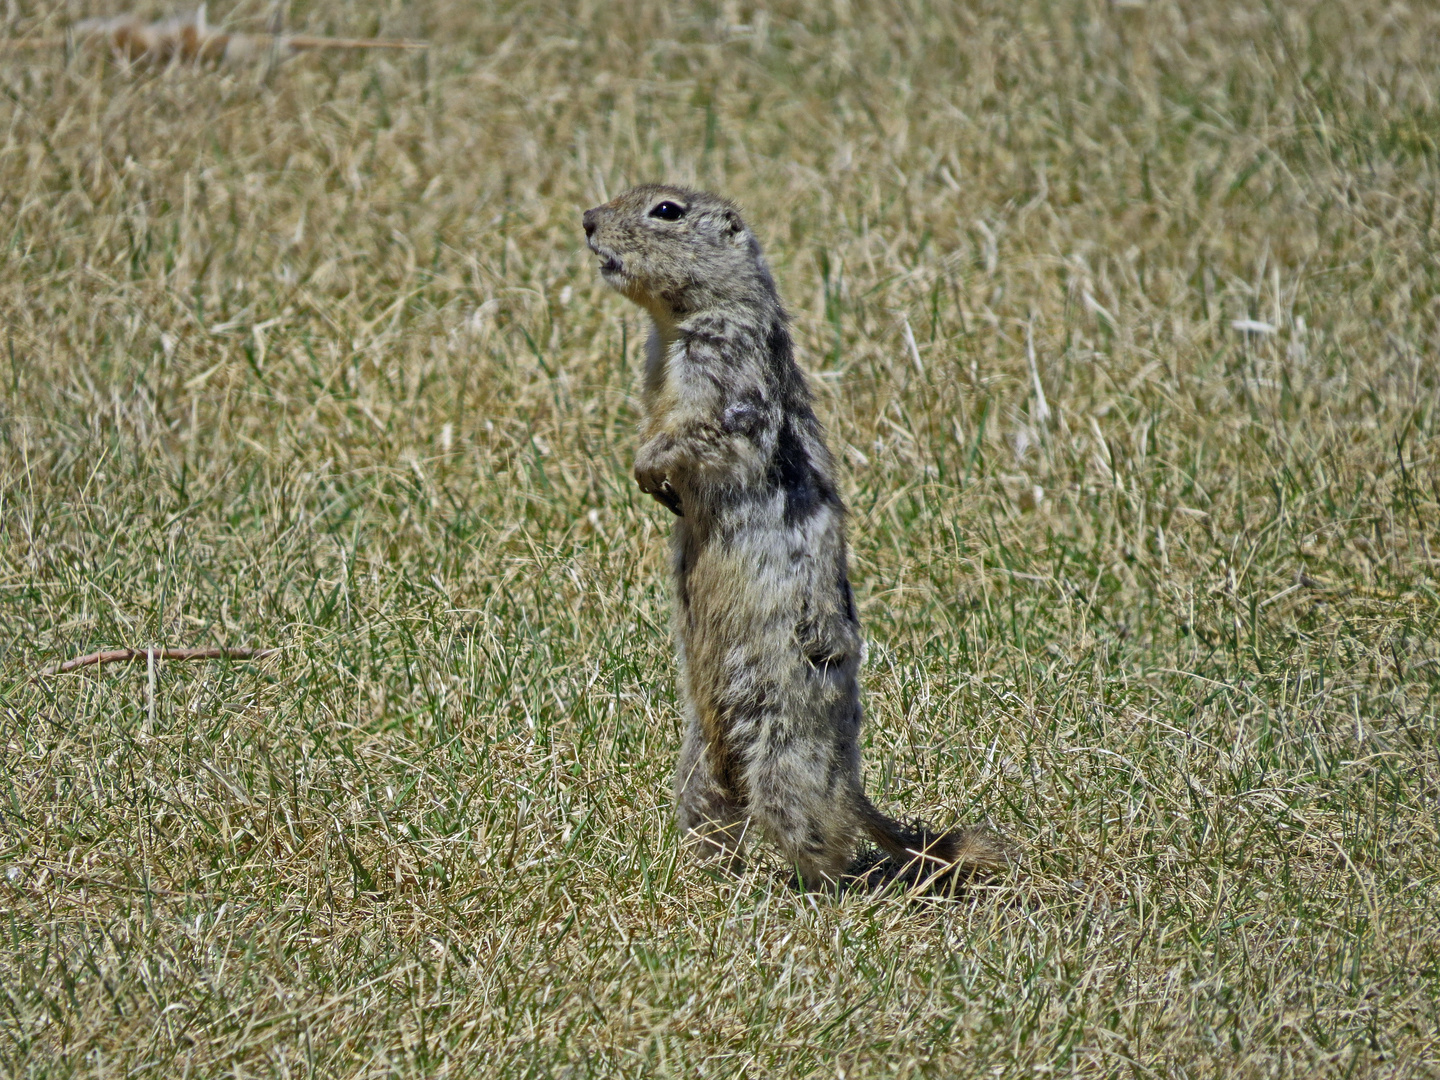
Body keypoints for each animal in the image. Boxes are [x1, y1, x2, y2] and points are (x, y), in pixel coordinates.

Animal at [578, 185, 1008, 892]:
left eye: (666, 210)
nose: (587, 222)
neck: (673, 327)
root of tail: (850, 782)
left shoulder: (725, 372)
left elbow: (701, 432)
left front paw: (652, 473)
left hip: (783, 754)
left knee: (823, 834)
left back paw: (815, 888)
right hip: (701, 760)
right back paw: (702, 877)